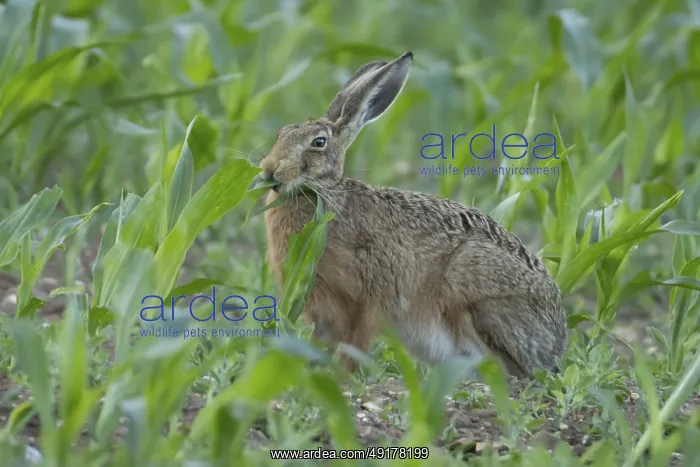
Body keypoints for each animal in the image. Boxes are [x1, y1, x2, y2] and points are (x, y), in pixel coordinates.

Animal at [260, 51, 568, 378]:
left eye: (318, 142)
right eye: (281, 134)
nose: (268, 169)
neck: (322, 191)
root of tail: (556, 342)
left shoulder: (362, 303)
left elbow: (353, 347)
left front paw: (343, 379)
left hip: (475, 285)